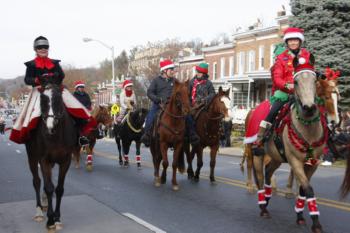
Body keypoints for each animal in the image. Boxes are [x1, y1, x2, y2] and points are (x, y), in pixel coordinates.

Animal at [25, 83, 78, 229]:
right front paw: (50, 220)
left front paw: (57, 218)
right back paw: (39, 211)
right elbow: (49, 188)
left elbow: (59, 189)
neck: (56, 136)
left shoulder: (65, 161)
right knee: (37, 182)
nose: (50, 128)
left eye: (58, 100)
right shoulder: (44, 160)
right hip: (32, 158)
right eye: (42, 101)